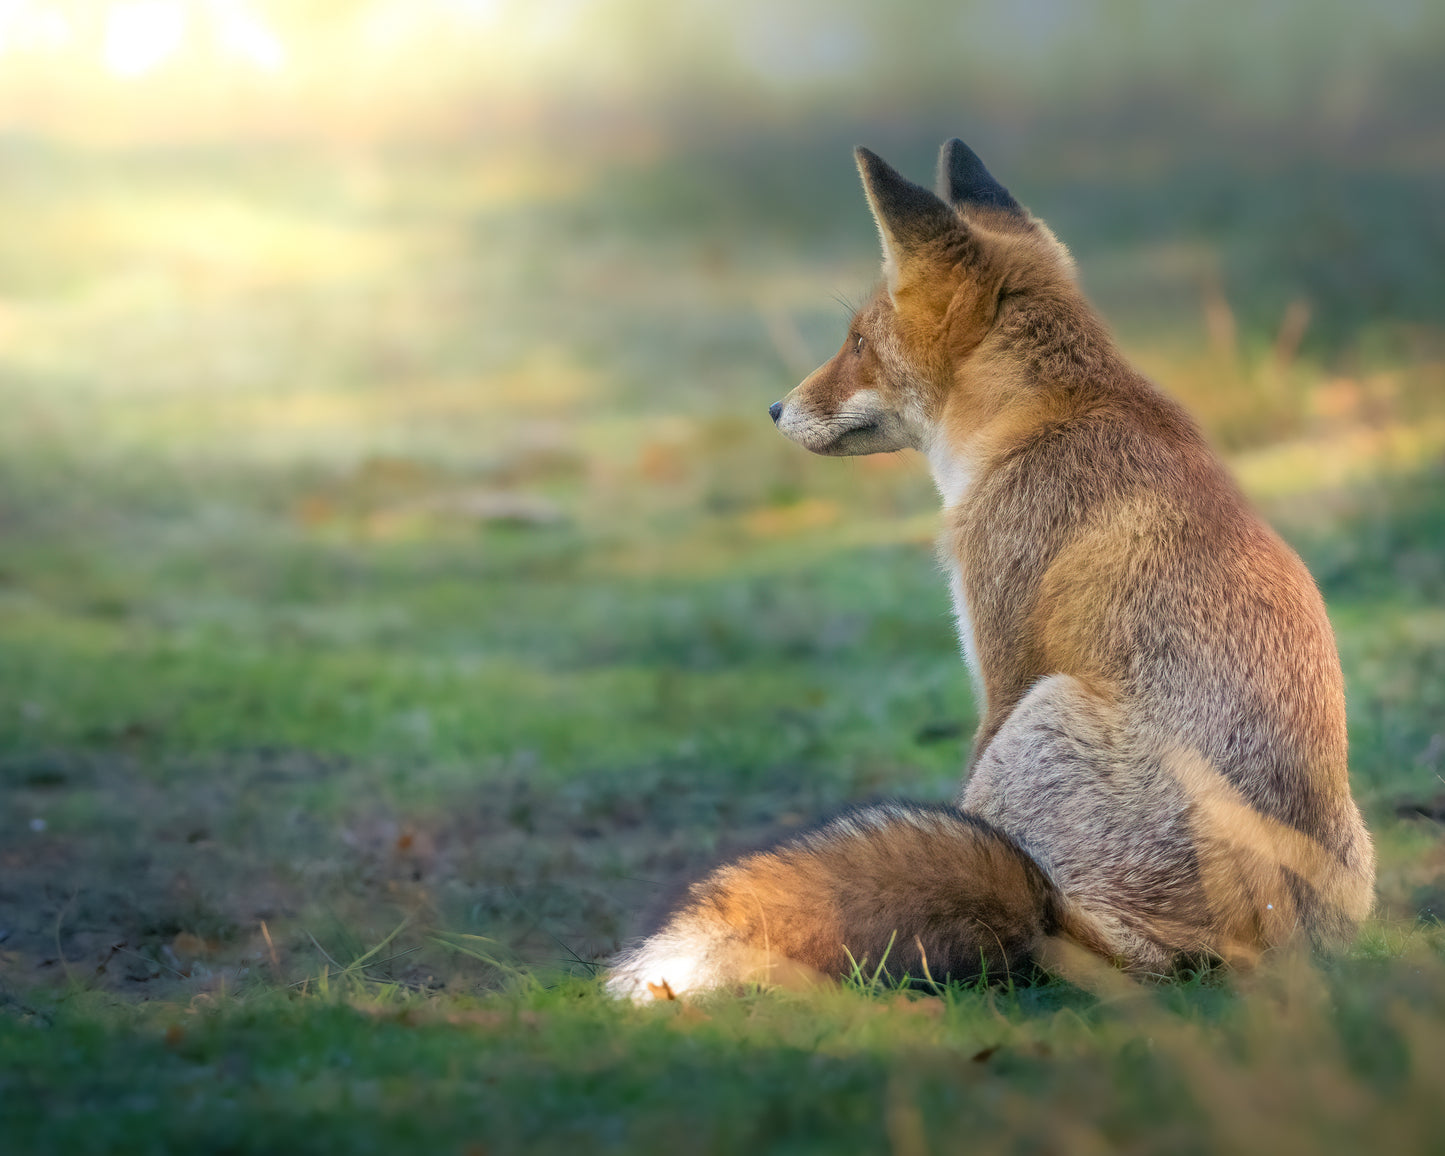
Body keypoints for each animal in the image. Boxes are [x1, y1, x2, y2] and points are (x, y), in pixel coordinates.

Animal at [604, 137, 1369, 999]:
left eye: (857, 342)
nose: (773, 409)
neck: (1045, 418)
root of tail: (1254, 946)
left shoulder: (1001, 666)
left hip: (1043, 712)